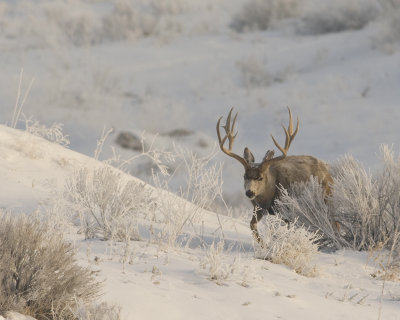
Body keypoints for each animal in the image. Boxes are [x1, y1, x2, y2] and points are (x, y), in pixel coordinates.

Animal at [217, 107, 332, 242]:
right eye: (245, 176)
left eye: (260, 177)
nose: (249, 192)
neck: (269, 196)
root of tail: (328, 170)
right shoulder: (257, 208)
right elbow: (252, 225)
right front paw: (264, 244)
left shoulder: (287, 210)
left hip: (325, 200)